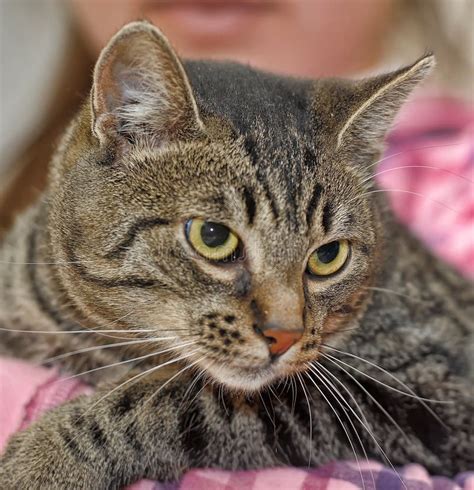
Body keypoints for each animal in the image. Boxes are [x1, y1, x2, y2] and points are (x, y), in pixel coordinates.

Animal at [0, 20, 474, 490]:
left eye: (328, 255)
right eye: (213, 237)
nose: (285, 335)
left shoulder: (427, 394)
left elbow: (177, 402)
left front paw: (44, 459)